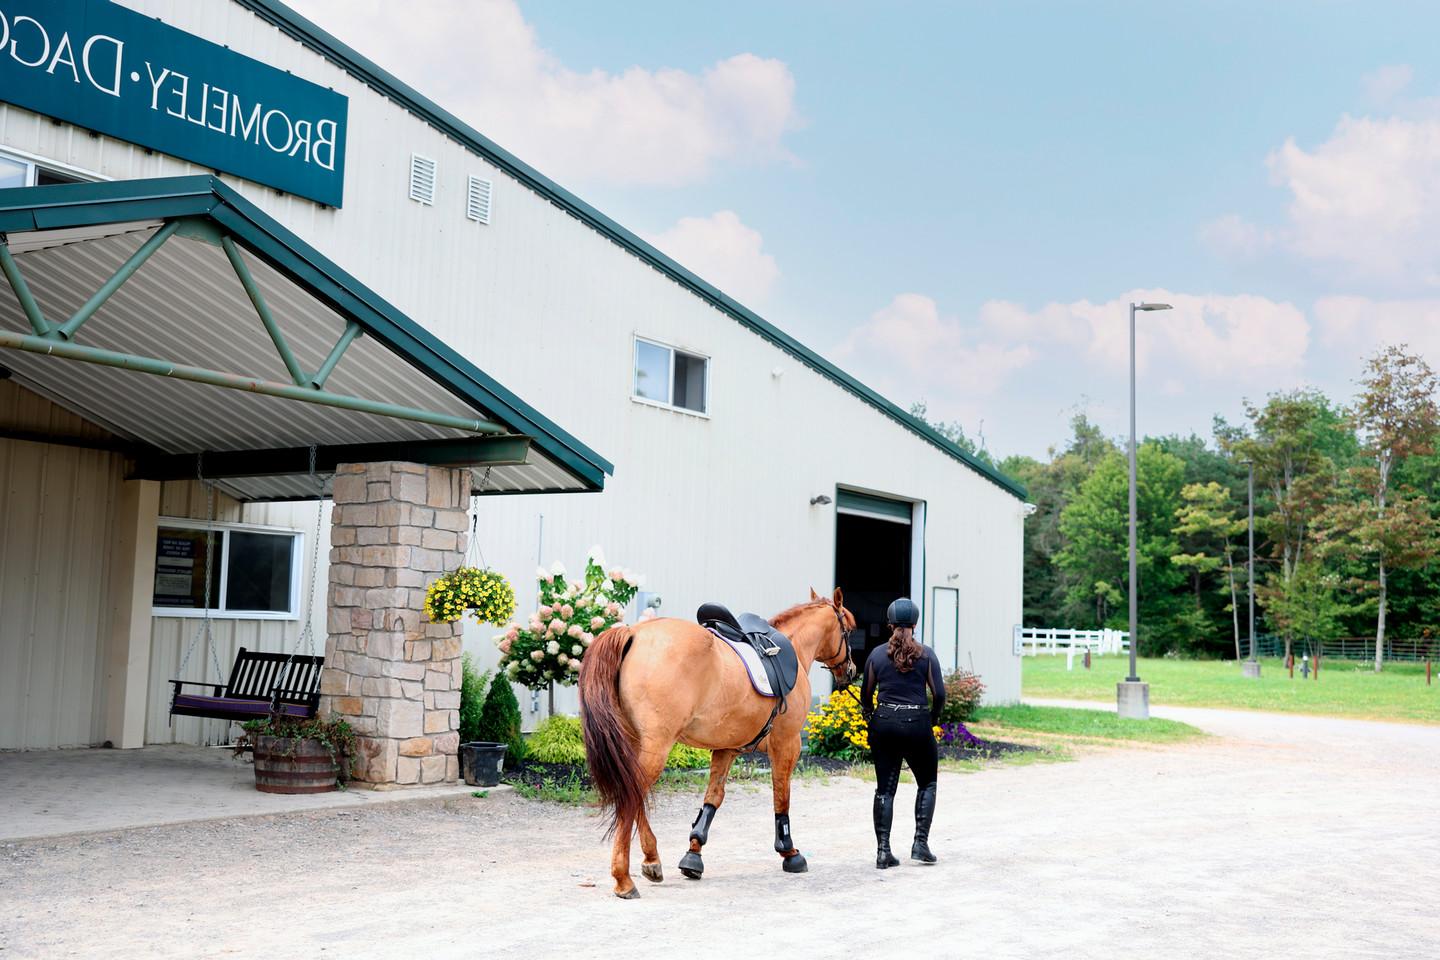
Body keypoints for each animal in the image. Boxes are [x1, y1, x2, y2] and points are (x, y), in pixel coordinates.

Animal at [576, 590, 852, 898]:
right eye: (850, 629)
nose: (851, 670)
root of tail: (632, 633)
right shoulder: (787, 743)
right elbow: (781, 796)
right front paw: (789, 852)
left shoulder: (726, 749)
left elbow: (713, 798)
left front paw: (693, 854)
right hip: (656, 747)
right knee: (631, 796)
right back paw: (623, 878)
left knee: (633, 795)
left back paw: (651, 860)